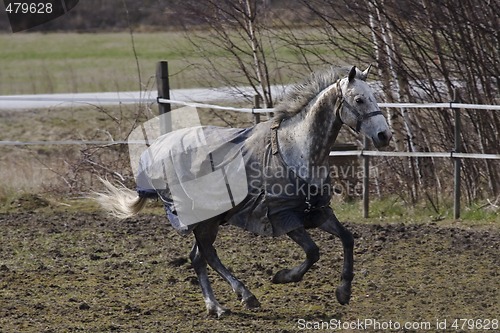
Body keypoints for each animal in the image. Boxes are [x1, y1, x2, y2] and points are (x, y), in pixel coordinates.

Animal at [94, 65, 390, 316]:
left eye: (373, 97)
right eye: (359, 100)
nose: (384, 136)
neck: (295, 150)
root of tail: (156, 150)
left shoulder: (318, 212)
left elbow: (347, 239)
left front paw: (343, 292)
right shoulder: (284, 216)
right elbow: (313, 252)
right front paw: (282, 277)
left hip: (211, 219)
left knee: (198, 257)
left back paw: (216, 307)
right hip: (204, 219)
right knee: (207, 254)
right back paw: (245, 296)